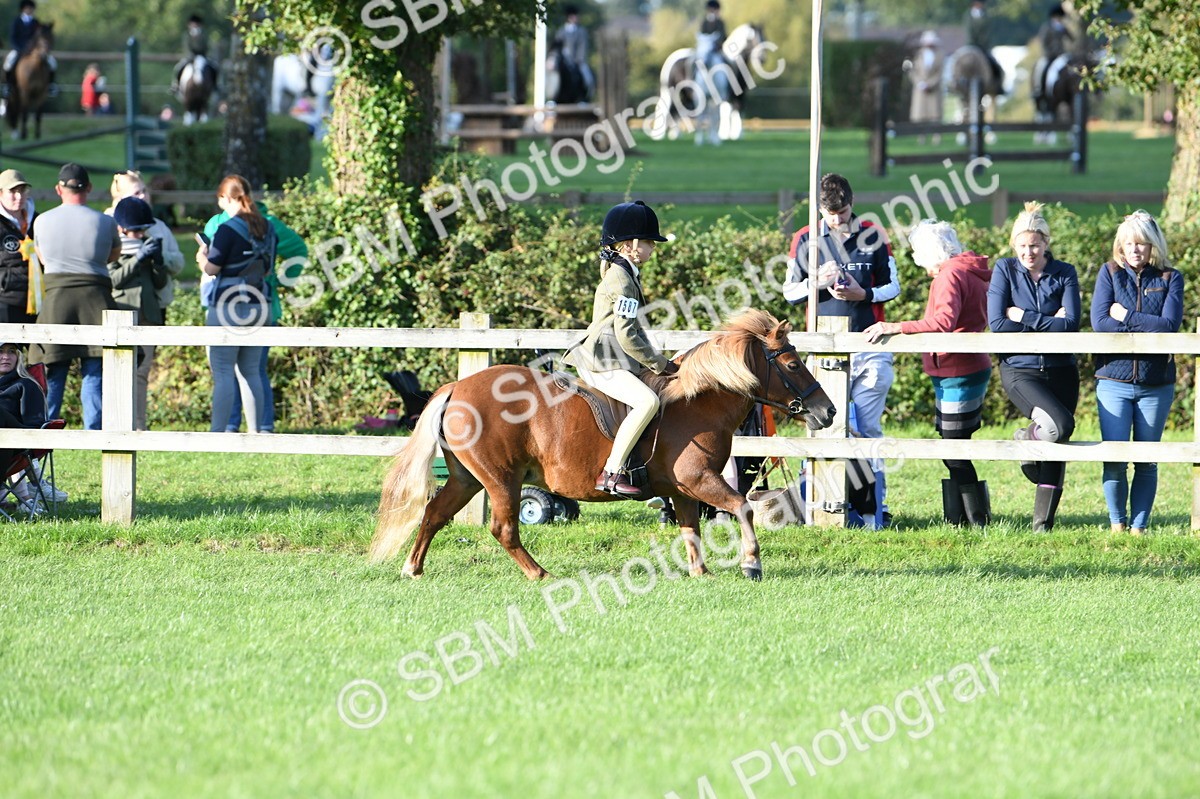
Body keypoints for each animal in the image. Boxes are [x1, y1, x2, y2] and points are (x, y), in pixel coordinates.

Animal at [370, 309, 837, 581]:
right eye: (792, 363)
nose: (828, 411)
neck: (697, 401)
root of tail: (457, 387)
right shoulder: (699, 479)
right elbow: (742, 507)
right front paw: (751, 563)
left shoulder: (684, 489)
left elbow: (691, 529)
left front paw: (700, 572)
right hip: (502, 480)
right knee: (503, 529)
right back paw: (540, 574)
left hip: (468, 479)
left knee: (434, 513)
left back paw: (413, 569)